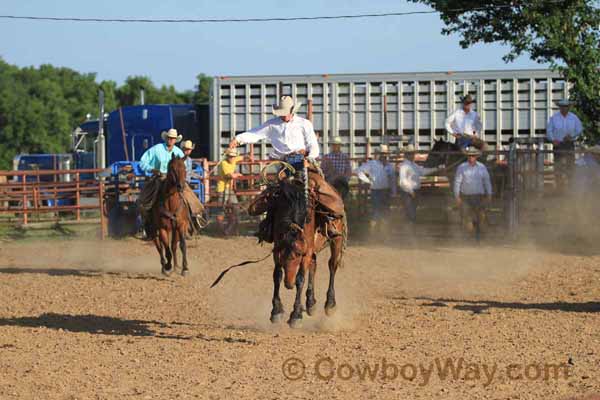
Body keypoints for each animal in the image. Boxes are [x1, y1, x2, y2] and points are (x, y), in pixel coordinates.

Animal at [270, 175, 344, 328]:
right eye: (281, 253)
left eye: (298, 253)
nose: (289, 284)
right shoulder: (276, 252)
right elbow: (277, 275)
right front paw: (276, 311)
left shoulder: (306, 253)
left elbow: (300, 279)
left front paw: (296, 315)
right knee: (313, 266)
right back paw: (310, 303)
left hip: (336, 241)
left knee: (332, 265)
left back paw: (330, 304)